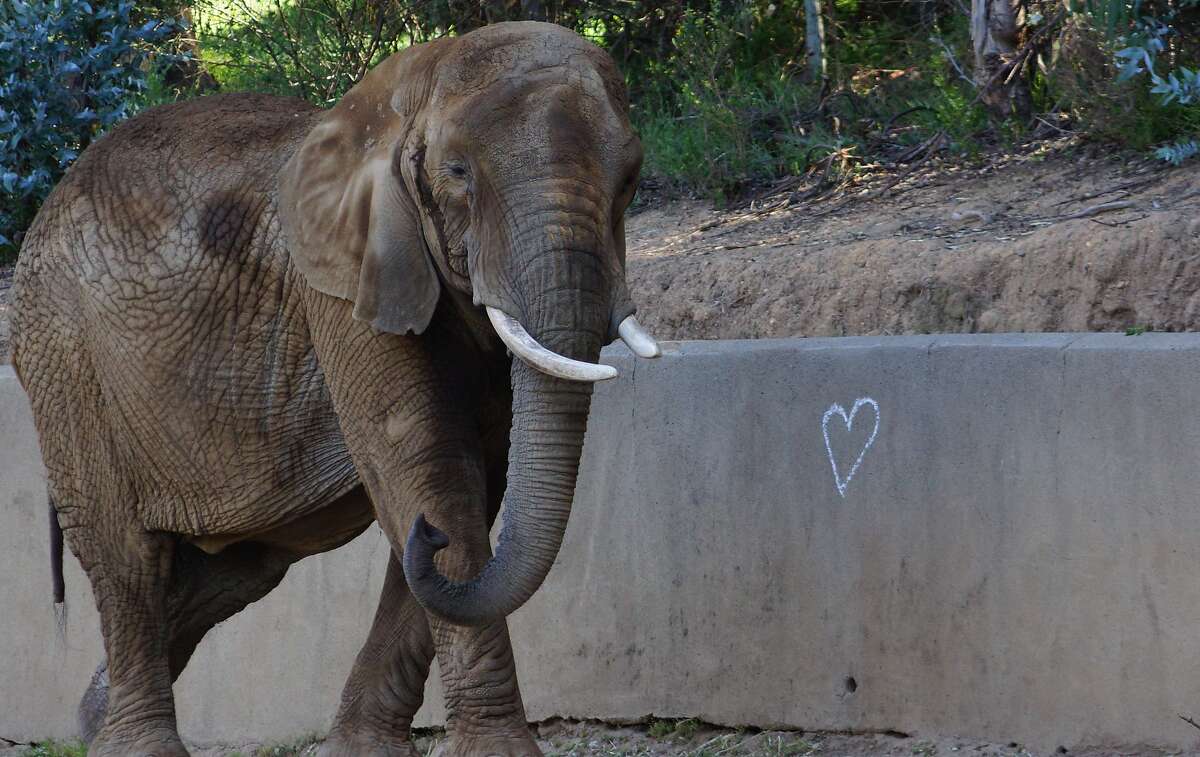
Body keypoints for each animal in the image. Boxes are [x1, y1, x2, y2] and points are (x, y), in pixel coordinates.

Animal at [7, 20, 657, 753]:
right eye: (458, 173)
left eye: (630, 179)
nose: (428, 541)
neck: (407, 88)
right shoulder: (344, 288)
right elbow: (426, 469)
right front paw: (498, 750)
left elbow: (471, 482)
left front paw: (361, 747)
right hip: (66, 357)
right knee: (128, 558)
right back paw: (133, 741)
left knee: (233, 571)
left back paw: (91, 721)